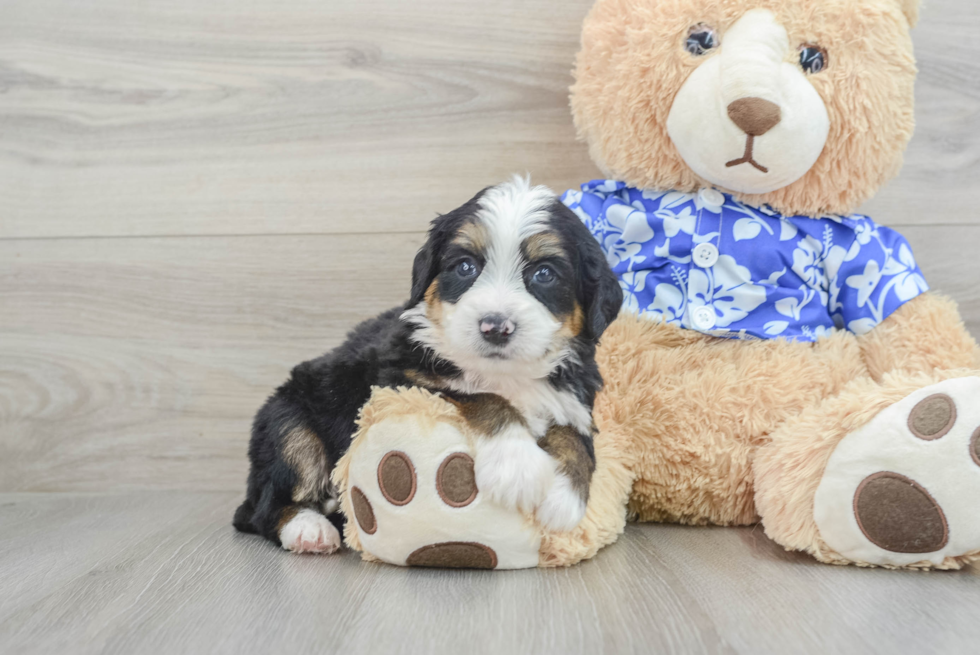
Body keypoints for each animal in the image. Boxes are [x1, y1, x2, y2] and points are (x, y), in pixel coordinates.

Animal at [232, 177, 620, 556]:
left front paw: (563, 497)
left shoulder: (574, 399)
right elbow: (482, 397)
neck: (507, 374)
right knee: (266, 504)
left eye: (544, 273)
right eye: (465, 267)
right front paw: (517, 467)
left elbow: (576, 438)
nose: (495, 326)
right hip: (288, 422)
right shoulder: (402, 382)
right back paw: (308, 529)